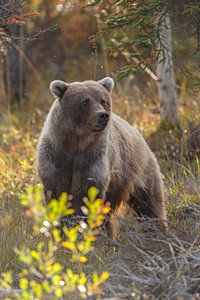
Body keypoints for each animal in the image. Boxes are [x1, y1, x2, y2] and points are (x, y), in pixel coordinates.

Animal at [36, 77, 167, 237]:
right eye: (85, 101)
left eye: (103, 100)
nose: (103, 115)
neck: (76, 143)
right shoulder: (56, 158)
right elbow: (57, 195)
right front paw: (61, 230)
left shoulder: (92, 159)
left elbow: (87, 195)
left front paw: (81, 228)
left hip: (138, 171)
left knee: (149, 204)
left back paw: (158, 231)